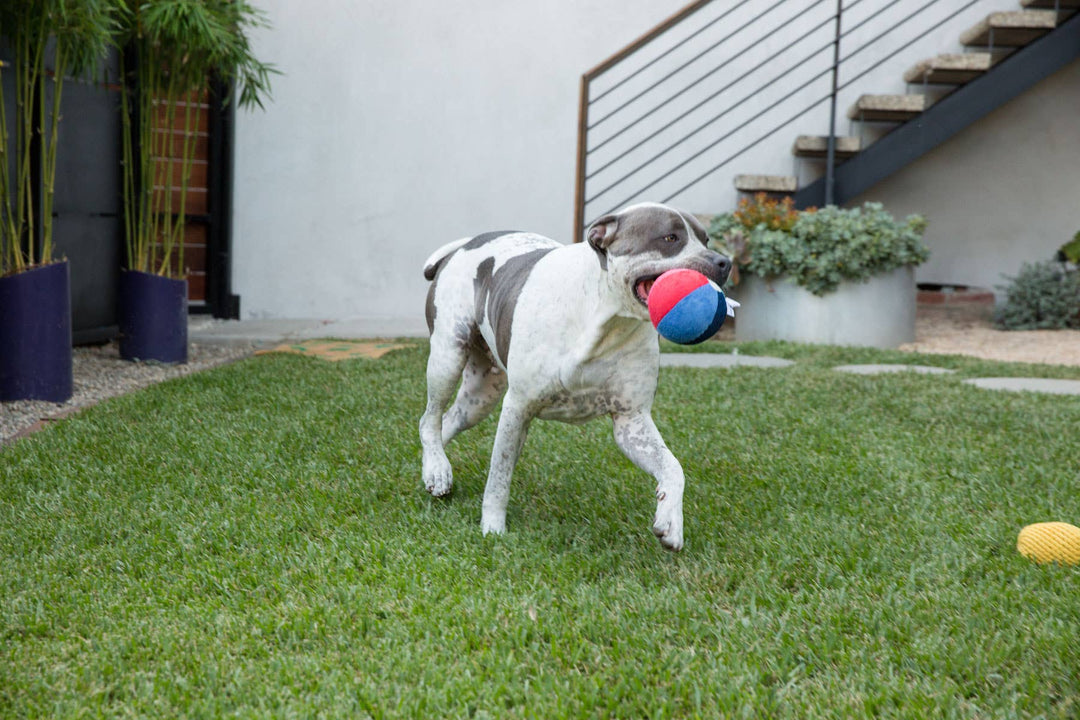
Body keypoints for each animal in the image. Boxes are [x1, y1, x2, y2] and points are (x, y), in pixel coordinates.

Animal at [416, 199, 730, 548]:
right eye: (670, 238)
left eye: (706, 239)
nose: (724, 262)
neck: (606, 318)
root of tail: (466, 244)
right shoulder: (517, 408)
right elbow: (499, 476)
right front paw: (493, 528)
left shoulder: (631, 420)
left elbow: (673, 467)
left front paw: (671, 521)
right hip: (448, 356)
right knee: (429, 418)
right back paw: (437, 468)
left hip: (481, 395)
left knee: (445, 422)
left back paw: (434, 470)